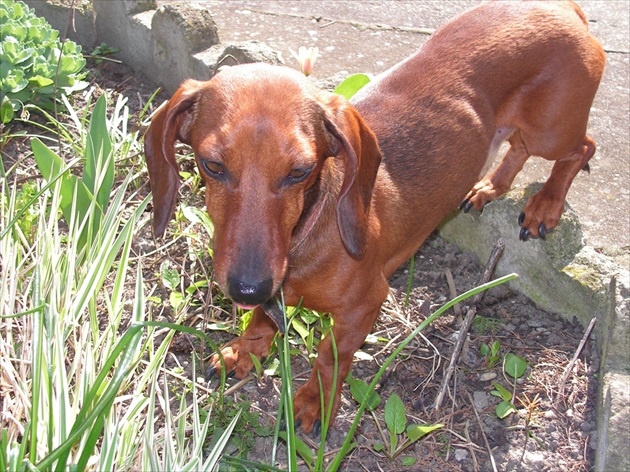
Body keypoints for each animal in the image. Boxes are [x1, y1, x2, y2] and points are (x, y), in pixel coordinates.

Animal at [144, 0, 608, 436]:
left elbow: (331, 355)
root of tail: (564, 8)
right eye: (212, 165)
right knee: (518, 147)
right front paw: (244, 350)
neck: (306, 235)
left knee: (582, 147)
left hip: (552, 129)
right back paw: (489, 187)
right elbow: (262, 320)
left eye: (300, 171)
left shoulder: (366, 302)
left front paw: (316, 402)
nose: (248, 287)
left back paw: (545, 203)